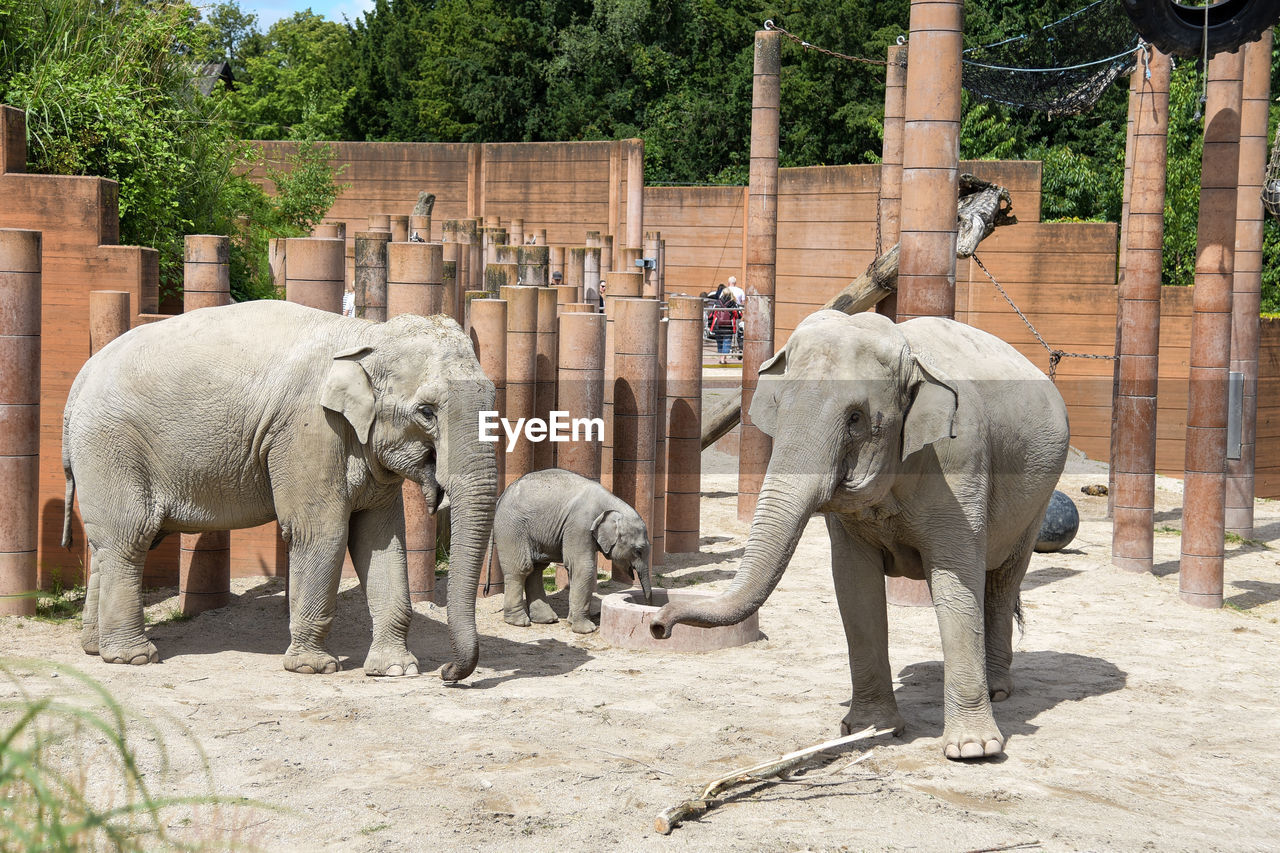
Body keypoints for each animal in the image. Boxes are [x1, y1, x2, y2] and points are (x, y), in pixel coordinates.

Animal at [62, 298, 496, 676]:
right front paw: (314, 668)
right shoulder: (309, 432)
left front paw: (395, 670)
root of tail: (81, 376)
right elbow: (322, 533)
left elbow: (381, 538)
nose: (448, 673)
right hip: (111, 447)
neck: (367, 335)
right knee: (129, 538)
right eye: (426, 412)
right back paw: (133, 657)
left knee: (107, 546)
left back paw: (95, 648)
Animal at [491, 466, 650, 630]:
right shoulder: (579, 525)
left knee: (536, 569)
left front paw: (573, 622)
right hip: (511, 528)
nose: (647, 605)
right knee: (522, 568)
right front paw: (587, 629)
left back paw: (546, 619)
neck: (612, 503)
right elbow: (583, 567)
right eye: (638, 551)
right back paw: (519, 622)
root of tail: (501, 497)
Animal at [650, 311, 1070, 758]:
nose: (659, 624)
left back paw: (997, 692)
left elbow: (956, 583)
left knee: (1004, 581)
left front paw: (973, 750)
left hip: (1039, 496)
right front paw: (872, 729)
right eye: (779, 408)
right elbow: (855, 586)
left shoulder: (960, 463)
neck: (908, 352)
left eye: (855, 419)